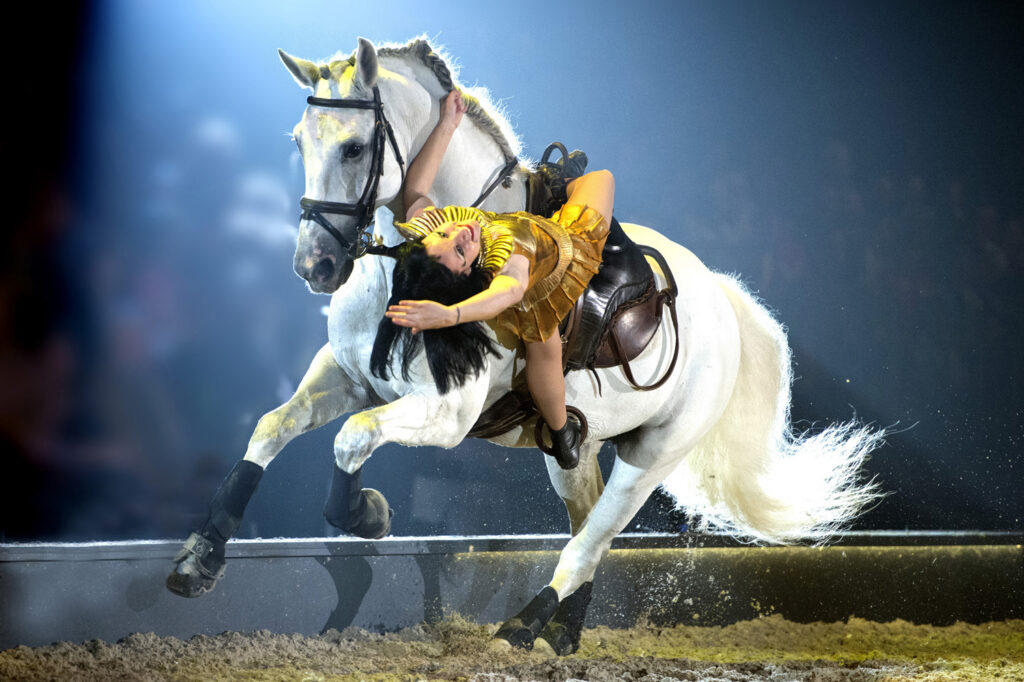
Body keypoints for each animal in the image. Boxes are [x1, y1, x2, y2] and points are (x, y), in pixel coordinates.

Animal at [167, 37, 883, 655]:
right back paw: (562, 634)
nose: (314, 266)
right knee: (586, 522)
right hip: (576, 453)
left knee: (590, 540)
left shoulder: (447, 413)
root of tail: (725, 299)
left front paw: (365, 515)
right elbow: (271, 427)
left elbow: (351, 438)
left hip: (652, 455)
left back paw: (523, 624)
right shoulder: (347, 376)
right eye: (298, 141)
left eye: (353, 148)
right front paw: (201, 558)